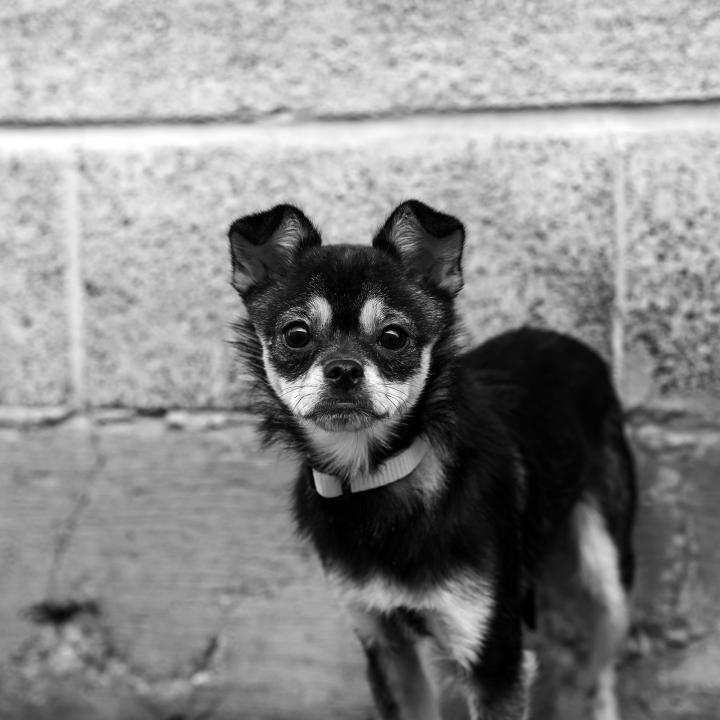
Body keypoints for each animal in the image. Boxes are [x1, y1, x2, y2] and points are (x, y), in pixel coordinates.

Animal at [228, 201, 632, 720]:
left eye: (393, 337)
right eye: (296, 335)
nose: (343, 370)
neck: (376, 477)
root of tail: (574, 344)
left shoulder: (494, 660)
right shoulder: (385, 647)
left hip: (608, 580)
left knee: (599, 667)